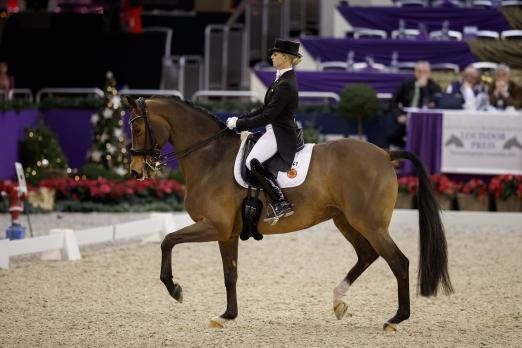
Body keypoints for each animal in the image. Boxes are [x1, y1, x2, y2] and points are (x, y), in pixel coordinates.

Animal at [123, 95, 450, 332]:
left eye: (137, 129)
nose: (136, 171)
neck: (211, 157)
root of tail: (384, 153)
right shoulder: (226, 233)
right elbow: (230, 274)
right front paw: (227, 315)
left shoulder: (214, 226)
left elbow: (167, 240)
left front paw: (175, 289)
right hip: (345, 220)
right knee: (367, 255)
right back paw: (338, 301)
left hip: (370, 223)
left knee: (399, 262)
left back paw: (395, 319)